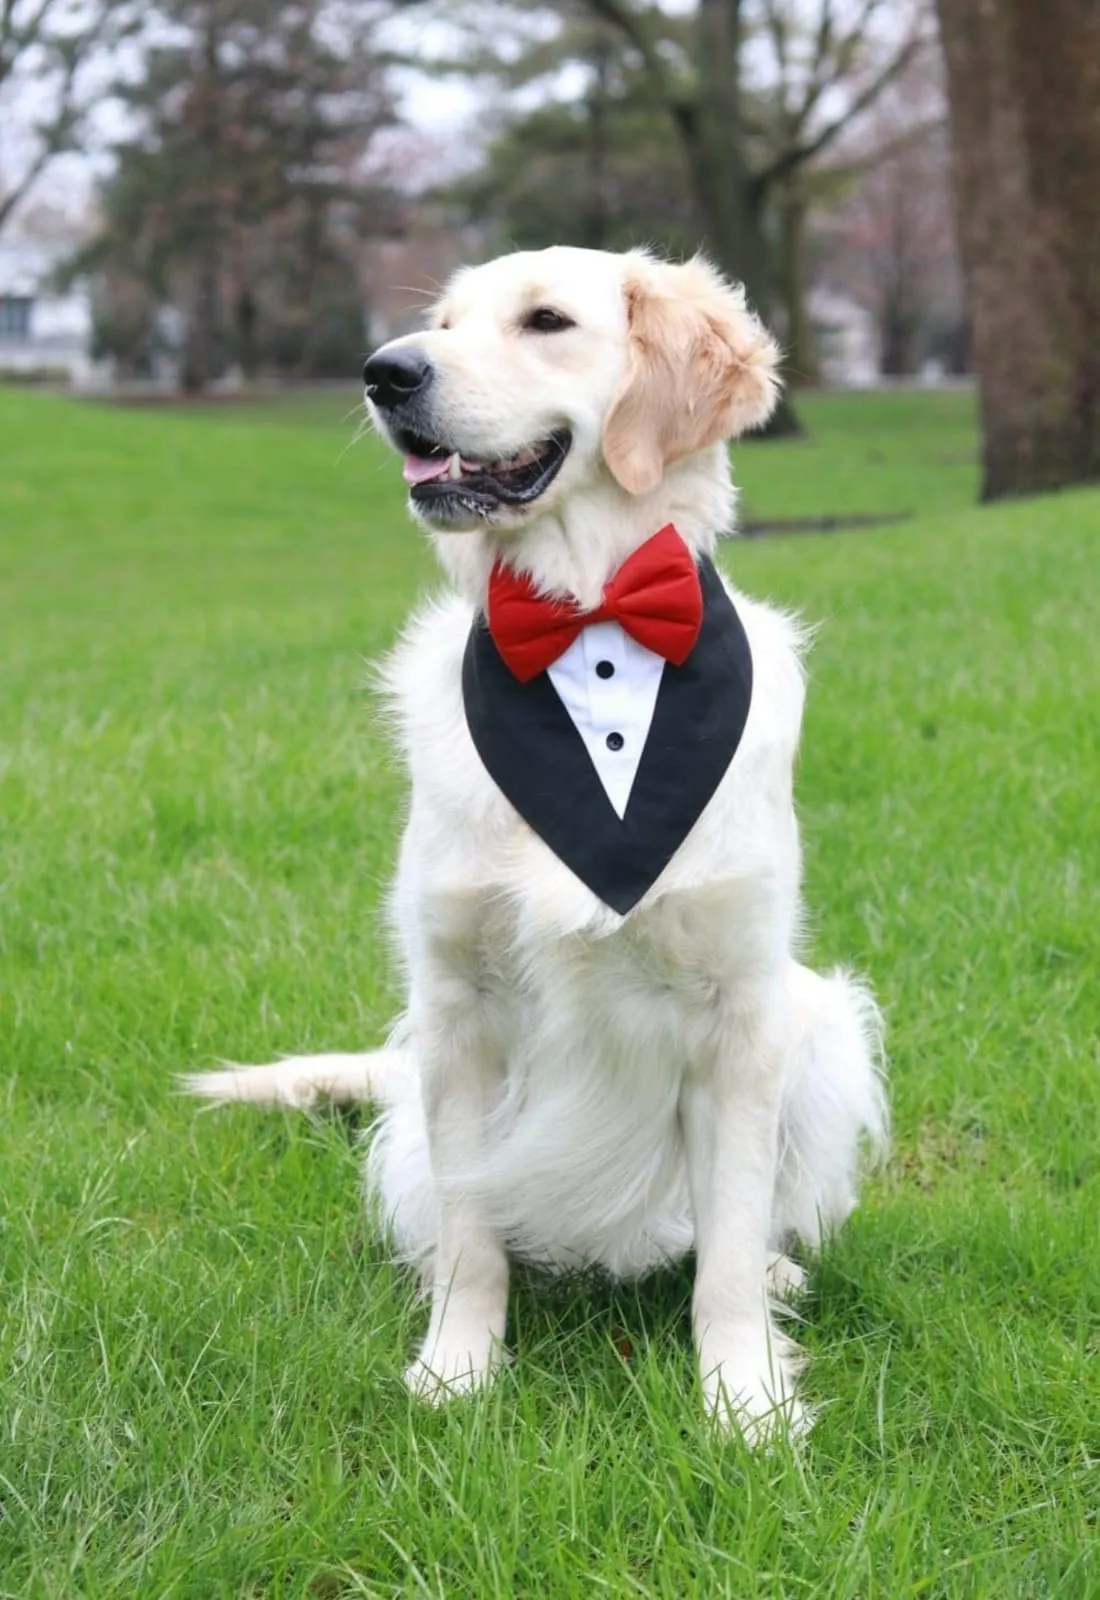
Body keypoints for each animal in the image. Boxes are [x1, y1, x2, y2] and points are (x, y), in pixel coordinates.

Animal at [184, 246, 888, 1440]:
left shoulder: (739, 1009)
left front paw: (743, 1398)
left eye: (546, 321)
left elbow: (729, 1244)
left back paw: (778, 1273)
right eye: (440, 323)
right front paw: (457, 1371)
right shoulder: (458, 1006)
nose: (384, 372)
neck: (587, 621)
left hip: (819, 1021)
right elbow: (475, 1237)